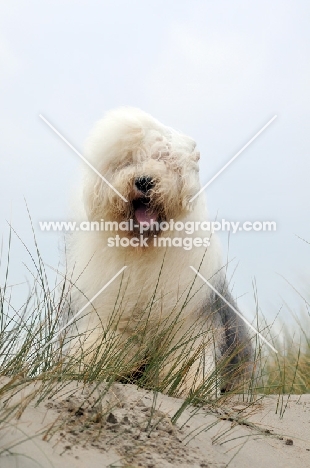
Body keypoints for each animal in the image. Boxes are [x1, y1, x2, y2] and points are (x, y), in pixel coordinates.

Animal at [66, 108, 252, 394]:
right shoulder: (112, 312)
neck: (146, 248)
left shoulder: (190, 319)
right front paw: (86, 367)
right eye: (128, 161)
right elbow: (100, 342)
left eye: (164, 159)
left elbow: (188, 357)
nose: (143, 181)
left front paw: (189, 388)